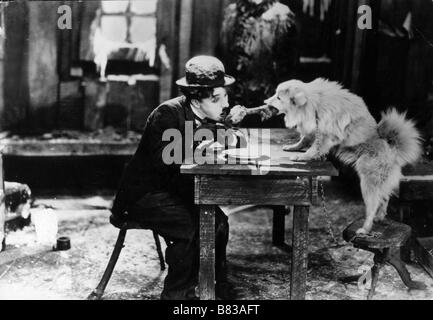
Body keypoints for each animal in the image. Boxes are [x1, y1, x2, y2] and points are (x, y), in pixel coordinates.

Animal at [262, 78, 420, 235]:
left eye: (278, 97)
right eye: (275, 94)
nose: (265, 101)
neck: (314, 105)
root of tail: (392, 149)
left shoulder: (325, 136)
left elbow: (314, 147)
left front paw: (303, 156)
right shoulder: (313, 131)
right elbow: (305, 139)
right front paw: (294, 147)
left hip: (368, 184)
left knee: (373, 205)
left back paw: (366, 228)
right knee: (385, 198)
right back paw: (380, 217)